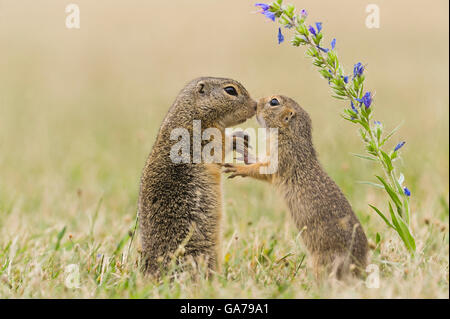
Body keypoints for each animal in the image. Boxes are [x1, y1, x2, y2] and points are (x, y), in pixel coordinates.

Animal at [137, 77, 256, 278]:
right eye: (230, 90)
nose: (255, 106)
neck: (192, 112)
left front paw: (241, 136)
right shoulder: (207, 139)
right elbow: (221, 147)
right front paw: (237, 141)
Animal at [225, 95, 370, 280]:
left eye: (274, 102)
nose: (256, 104)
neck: (290, 134)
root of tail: (360, 268)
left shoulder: (282, 156)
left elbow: (264, 170)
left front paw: (237, 168)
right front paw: (243, 151)